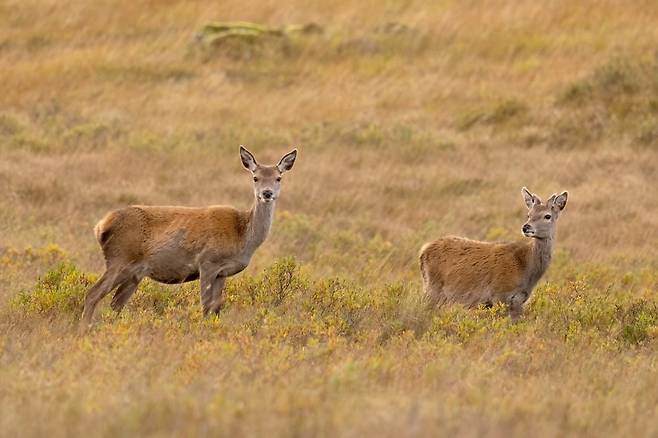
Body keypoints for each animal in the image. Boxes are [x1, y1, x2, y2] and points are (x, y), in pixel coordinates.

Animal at [79, 145, 298, 332]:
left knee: (115, 304)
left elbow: (216, 309)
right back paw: (84, 330)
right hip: (119, 259)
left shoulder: (222, 273)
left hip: (134, 273)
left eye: (278, 178)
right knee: (92, 295)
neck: (242, 236)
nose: (267, 193)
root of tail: (101, 226)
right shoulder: (208, 262)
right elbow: (206, 307)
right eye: (255, 177)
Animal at [420, 186, 564, 320]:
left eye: (547, 216)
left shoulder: (518, 301)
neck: (525, 267)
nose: (526, 227)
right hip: (433, 288)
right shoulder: (499, 294)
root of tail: (423, 251)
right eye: (529, 214)